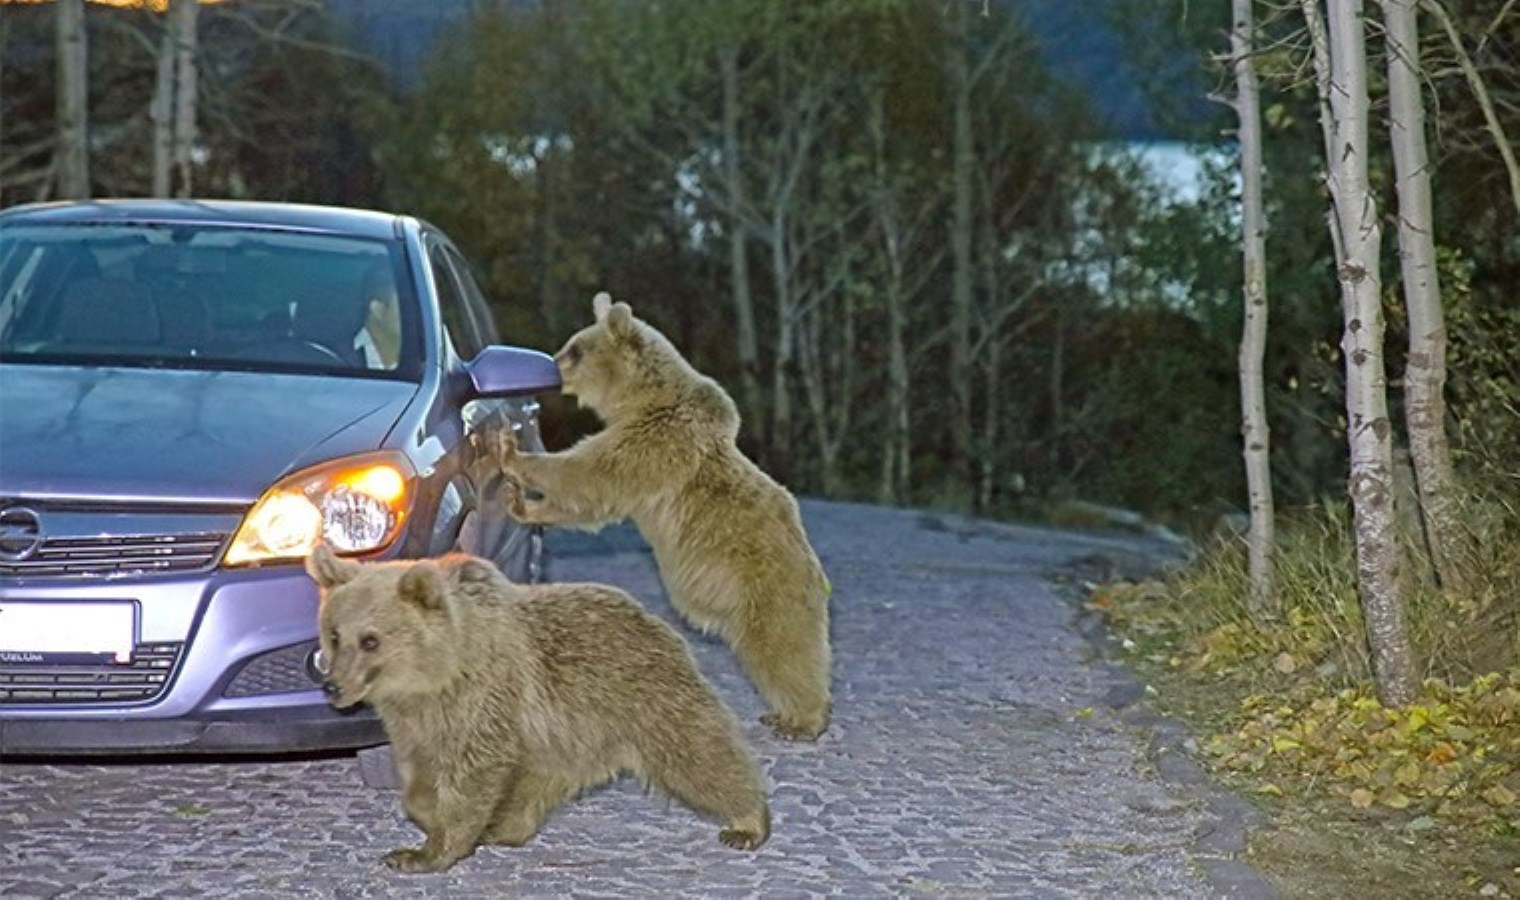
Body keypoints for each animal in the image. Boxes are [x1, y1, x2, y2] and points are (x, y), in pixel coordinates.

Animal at [307, 541, 766, 869]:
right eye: (334, 634)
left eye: (370, 640)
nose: (332, 685)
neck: (436, 675)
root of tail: (656, 620)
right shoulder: (414, 720)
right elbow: (420, 773)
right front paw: (426, 816)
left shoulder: (485, 698)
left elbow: (472, 773)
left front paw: (425, 851)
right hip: (563, 736)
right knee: (535, 784)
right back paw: (502, 827)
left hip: (644, 698)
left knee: (699, 757)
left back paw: (748, 821)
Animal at [474, 291, 832, 741]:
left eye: (575, 349)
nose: (551, 367)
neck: (637, 399)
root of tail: (816, 573)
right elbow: (590, 502)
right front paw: (521, 503)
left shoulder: (653, 442)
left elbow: (587, 472)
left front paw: (511, 452)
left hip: (768, 586)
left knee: (783, 650)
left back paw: (801, 719)